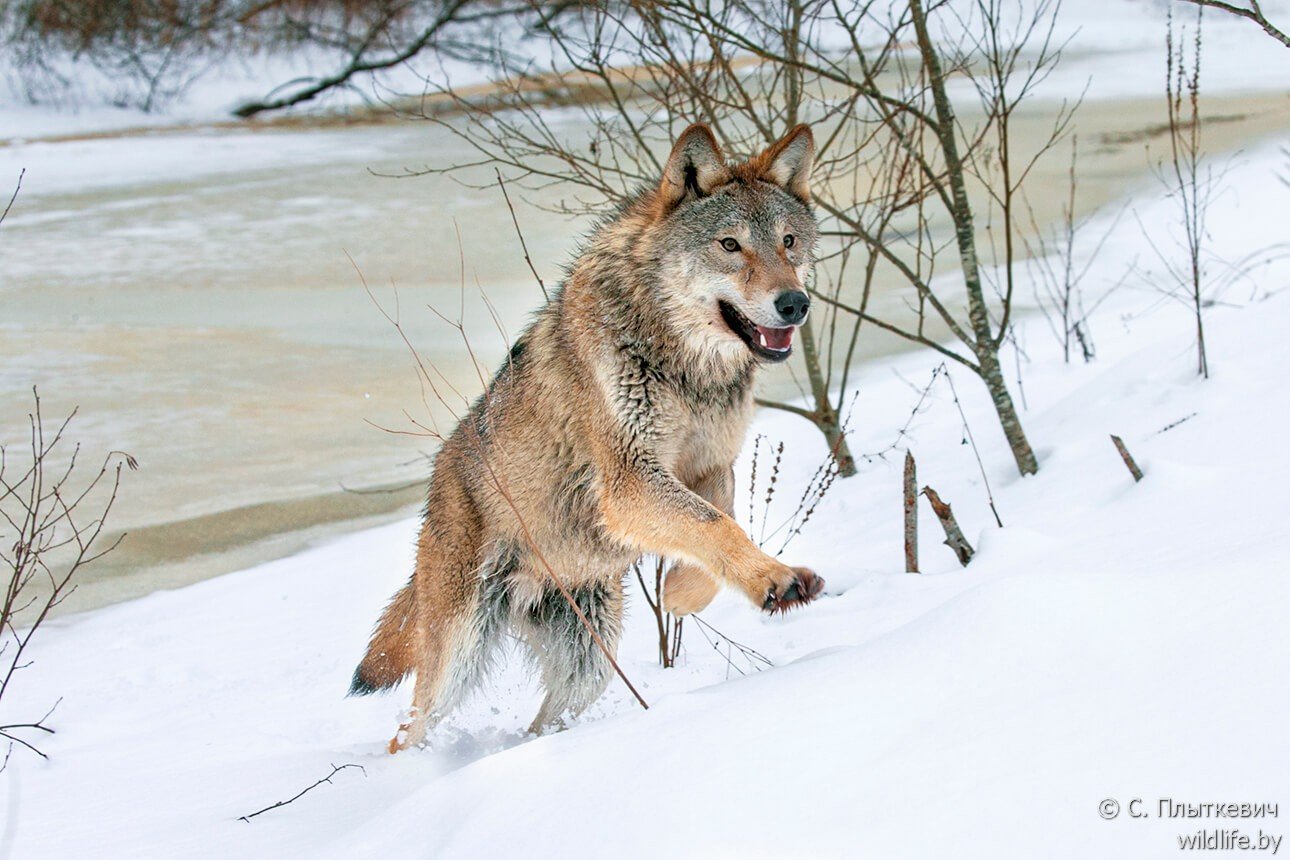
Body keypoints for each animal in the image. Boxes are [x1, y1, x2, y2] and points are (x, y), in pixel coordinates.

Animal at [350, 122, 825, 752]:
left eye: (789, 242)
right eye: (730, 245)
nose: (794, 303)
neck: (686, 369)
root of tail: (437, 487)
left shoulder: (710, 463)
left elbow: (720, 517)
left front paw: (681, 593)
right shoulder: (628, 480)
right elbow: (713, 524)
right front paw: (774, 579)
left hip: (589, 665)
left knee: (546, 719)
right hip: (458, 656)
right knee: (409, 730)